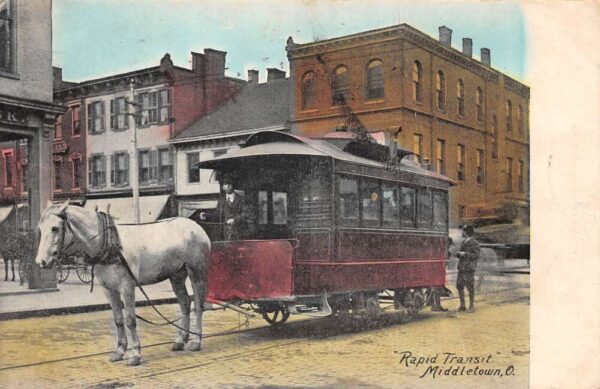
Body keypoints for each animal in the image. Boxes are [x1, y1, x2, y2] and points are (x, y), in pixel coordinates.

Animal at [34, 202, 211, 366]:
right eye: (40, 229)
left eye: (55, 228)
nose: (41, 262)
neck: (109, 242)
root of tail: (196, 226)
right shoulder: (109, 289)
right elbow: (118, 319)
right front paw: (119, 351)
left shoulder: (127, 286)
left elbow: (130, 320)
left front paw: (135, 354)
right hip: (176, 275)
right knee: (185, 303)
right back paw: (181, 340)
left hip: (196, 272)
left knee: (198, 304)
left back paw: (196, 340)